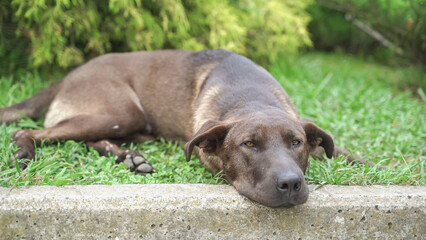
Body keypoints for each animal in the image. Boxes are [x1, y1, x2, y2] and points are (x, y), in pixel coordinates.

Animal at [0, 49, 366, 207]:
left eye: (297, 142)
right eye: (248, 144)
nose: (291, 184)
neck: (251, 97)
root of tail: (65, 78)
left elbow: (335, 147)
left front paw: (358, 158)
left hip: (126, 121)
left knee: (91, 140)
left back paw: (131, 158)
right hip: (123, 111)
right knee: (31, 132)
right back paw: (24, 153)